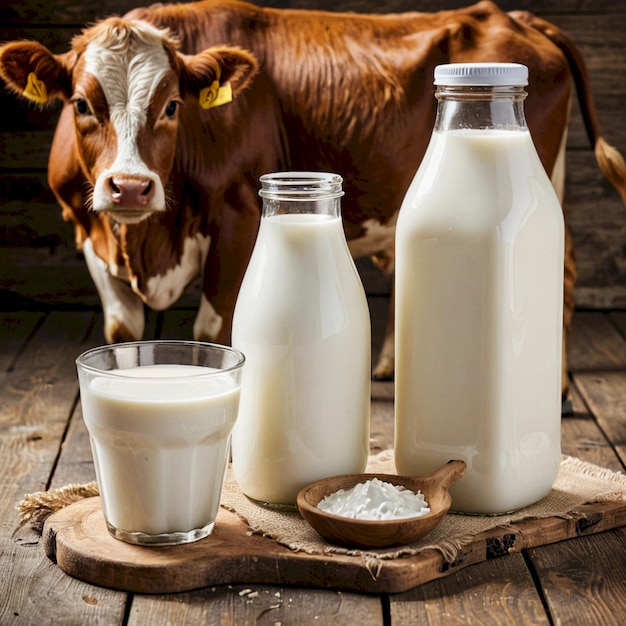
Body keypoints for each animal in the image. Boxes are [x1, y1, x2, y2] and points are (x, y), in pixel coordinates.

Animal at [0, 0, 620, 394]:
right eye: (82, 104)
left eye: (173, 105)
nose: (129, 186)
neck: (149, 244)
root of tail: (513, 16)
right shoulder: (87, 229)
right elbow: (121, 335)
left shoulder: (238, 216)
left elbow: (214, 332)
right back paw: (389, 367)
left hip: (550, 171)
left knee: (565, 272)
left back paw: (558, 389)